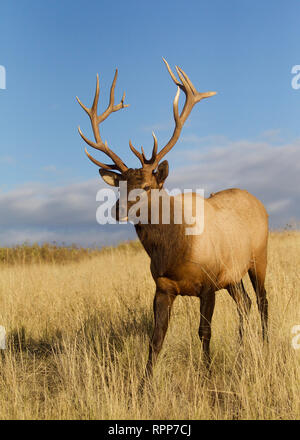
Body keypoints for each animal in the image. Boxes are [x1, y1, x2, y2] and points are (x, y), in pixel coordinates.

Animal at [77, 60, 270, 380]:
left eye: (146, 186)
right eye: (120, 185)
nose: (117, 209)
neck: (176, 249)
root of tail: (259, 202)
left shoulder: (208, 282)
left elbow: (204, 332)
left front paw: (207, 375)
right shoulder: (163, 287)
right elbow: (155, 338)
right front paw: (144, 384)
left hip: (259, 255)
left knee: (263, 301)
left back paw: (265, 347)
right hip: (232, 274)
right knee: (245, 304)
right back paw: (244, 351)